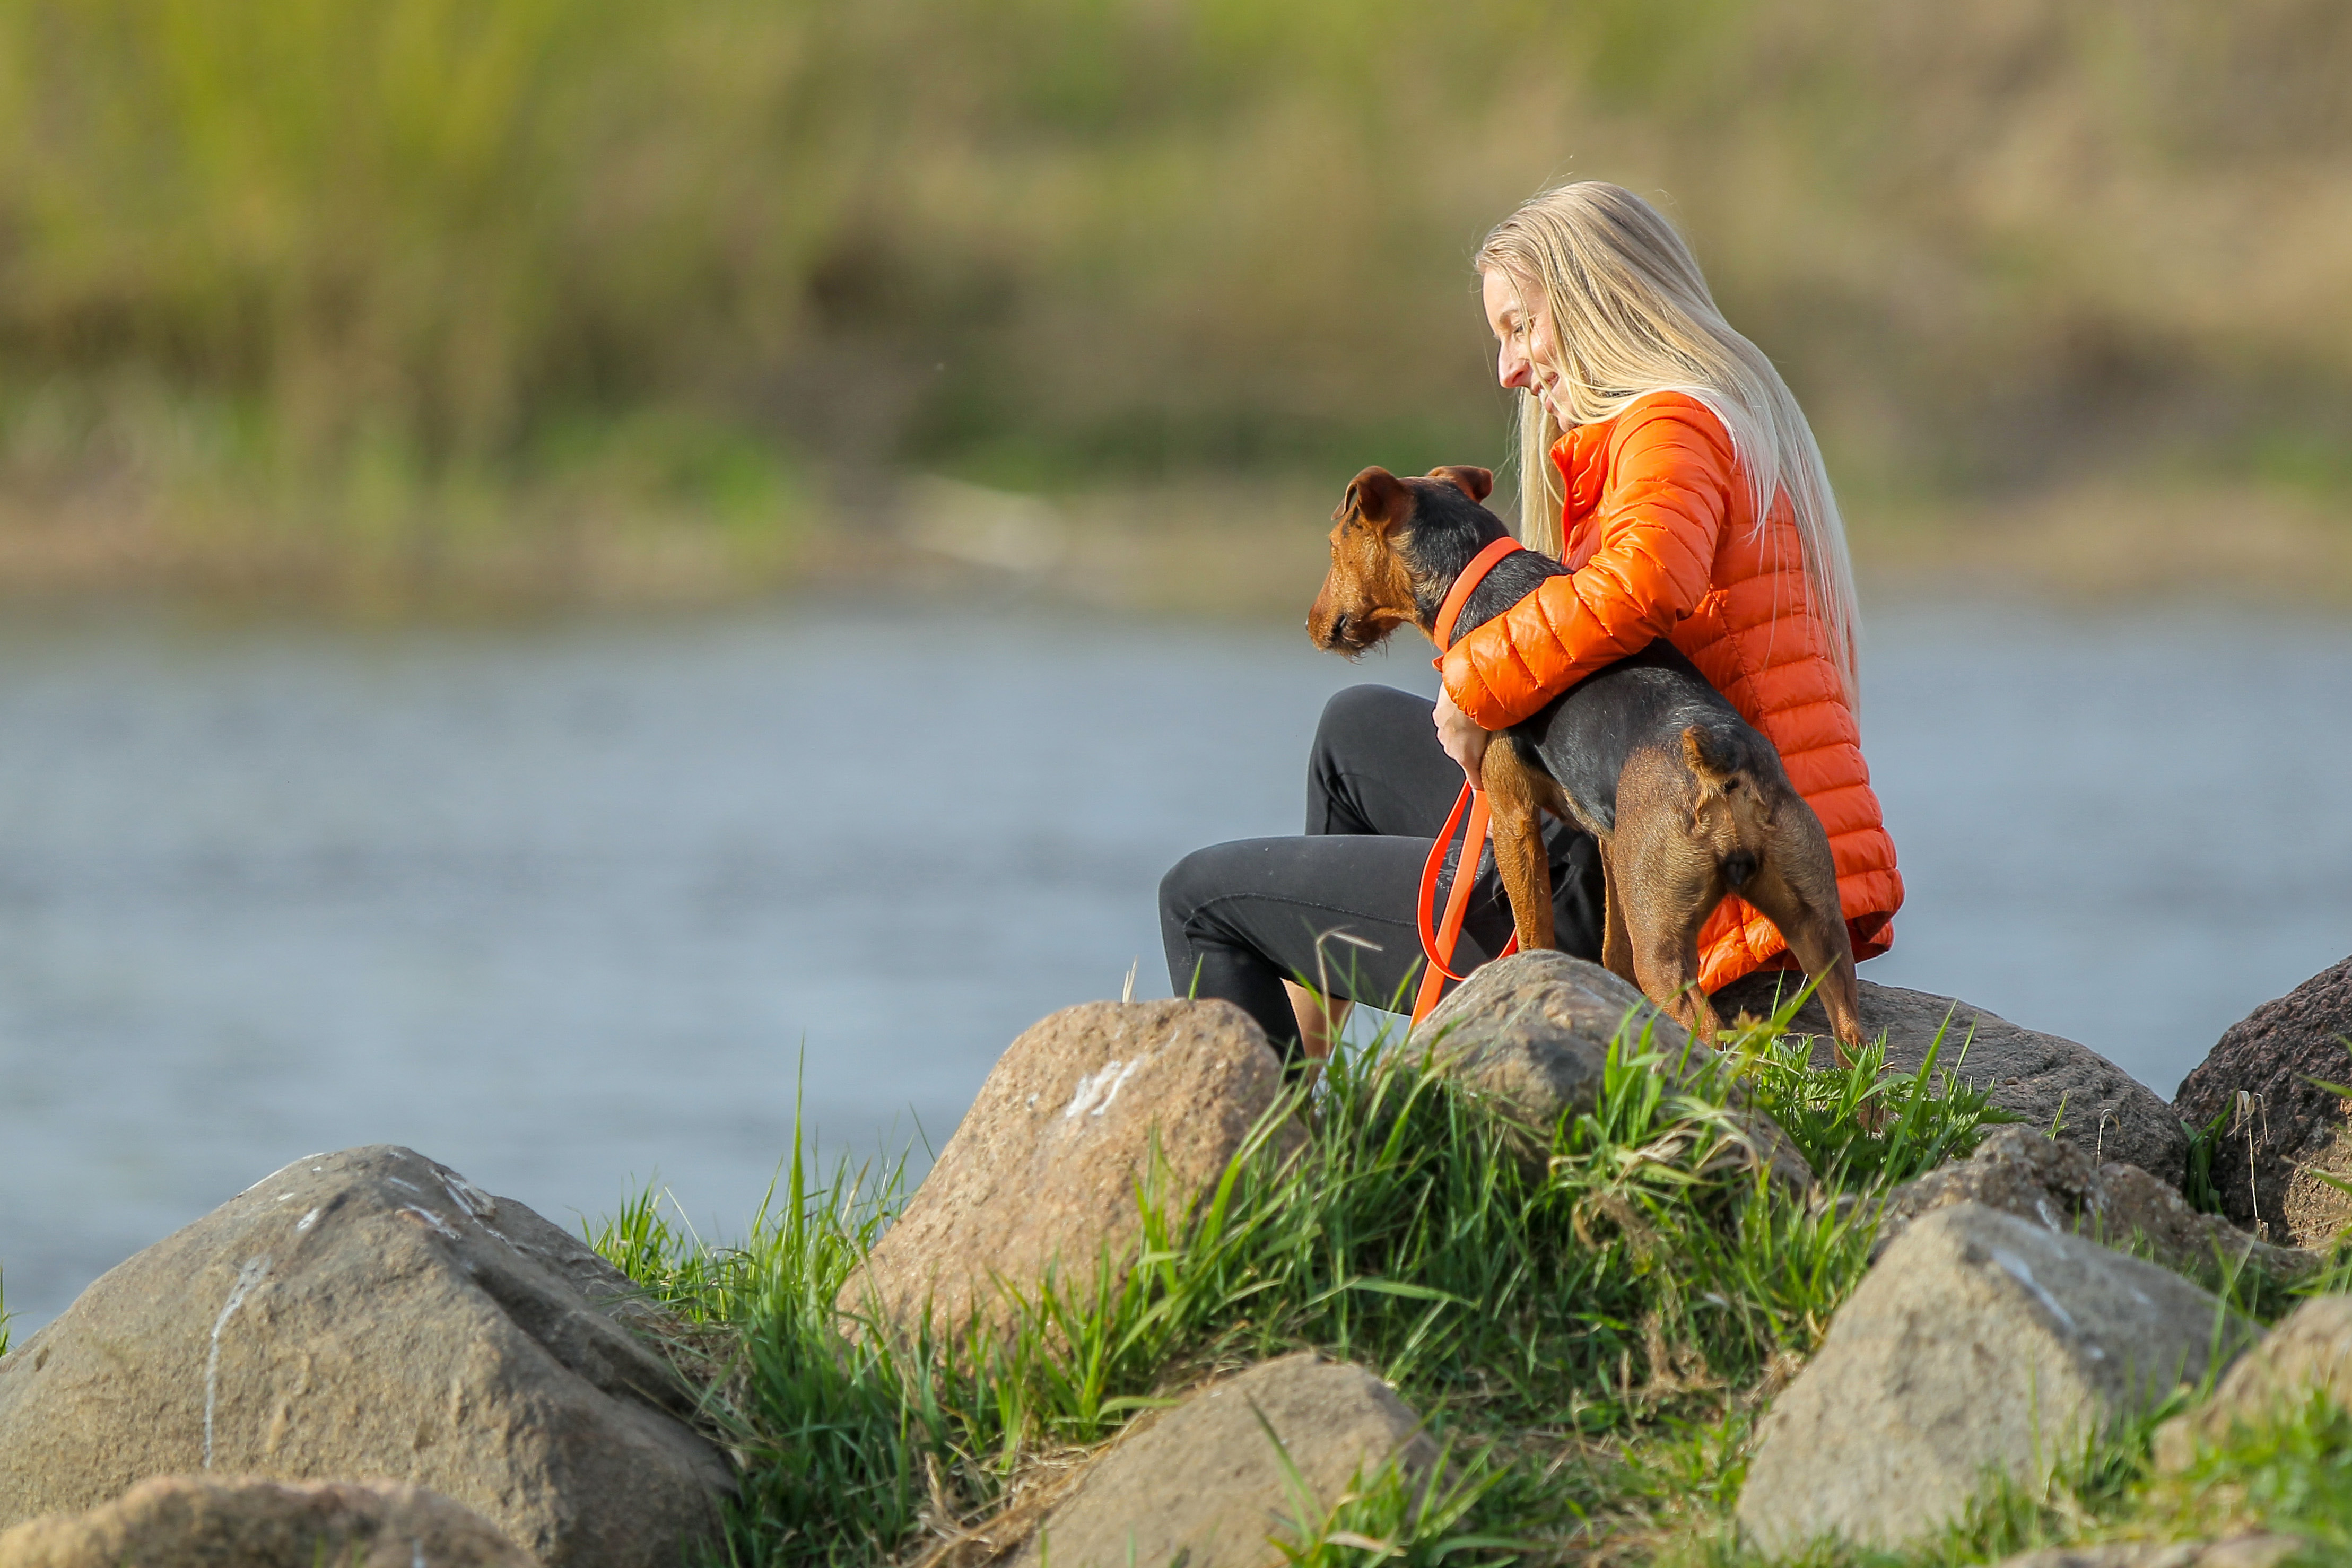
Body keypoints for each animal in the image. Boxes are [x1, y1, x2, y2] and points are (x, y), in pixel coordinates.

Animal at [1317, 460, 1862, 1062]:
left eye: (1333, 545)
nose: (1314, 625)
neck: (1477, 580)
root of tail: (1722, 761)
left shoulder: (1511, 813)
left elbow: (1535, 933)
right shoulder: (1609, 843)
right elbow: (1610, 951)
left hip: (1666, 948)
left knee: (1704, 1028)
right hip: (1817, 927)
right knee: (1853, 1041)